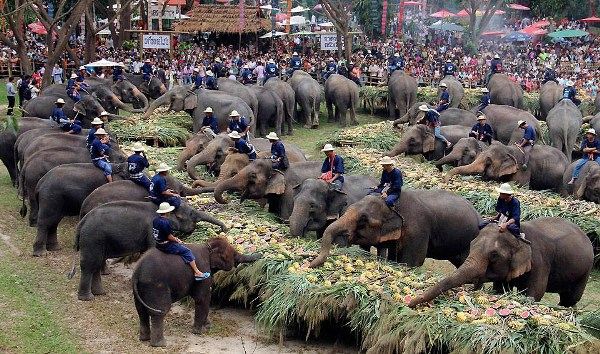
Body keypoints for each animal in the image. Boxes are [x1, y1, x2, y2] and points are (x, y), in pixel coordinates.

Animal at [71, 201, 226, 300]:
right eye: (192, 214)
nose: (223, 229)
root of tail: (81, 223)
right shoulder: (152, 229)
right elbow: (153, 248)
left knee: (96, 263)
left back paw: (100, 293)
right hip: (92, 239)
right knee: (89, 265)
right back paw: (88, 298)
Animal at [310, 191, 482, 268]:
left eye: (363, 219)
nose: (309, 264)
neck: (392, 203)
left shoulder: (418, 229)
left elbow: (411, 262)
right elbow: (393, 257)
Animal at [410, 216, 592, 306]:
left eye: (494, 255)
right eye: (471, 245)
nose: (410, 303)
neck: (518, 235)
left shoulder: (540, 262)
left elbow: (535, 293)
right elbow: (500, 289)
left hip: (584, 272)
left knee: (570, 299)